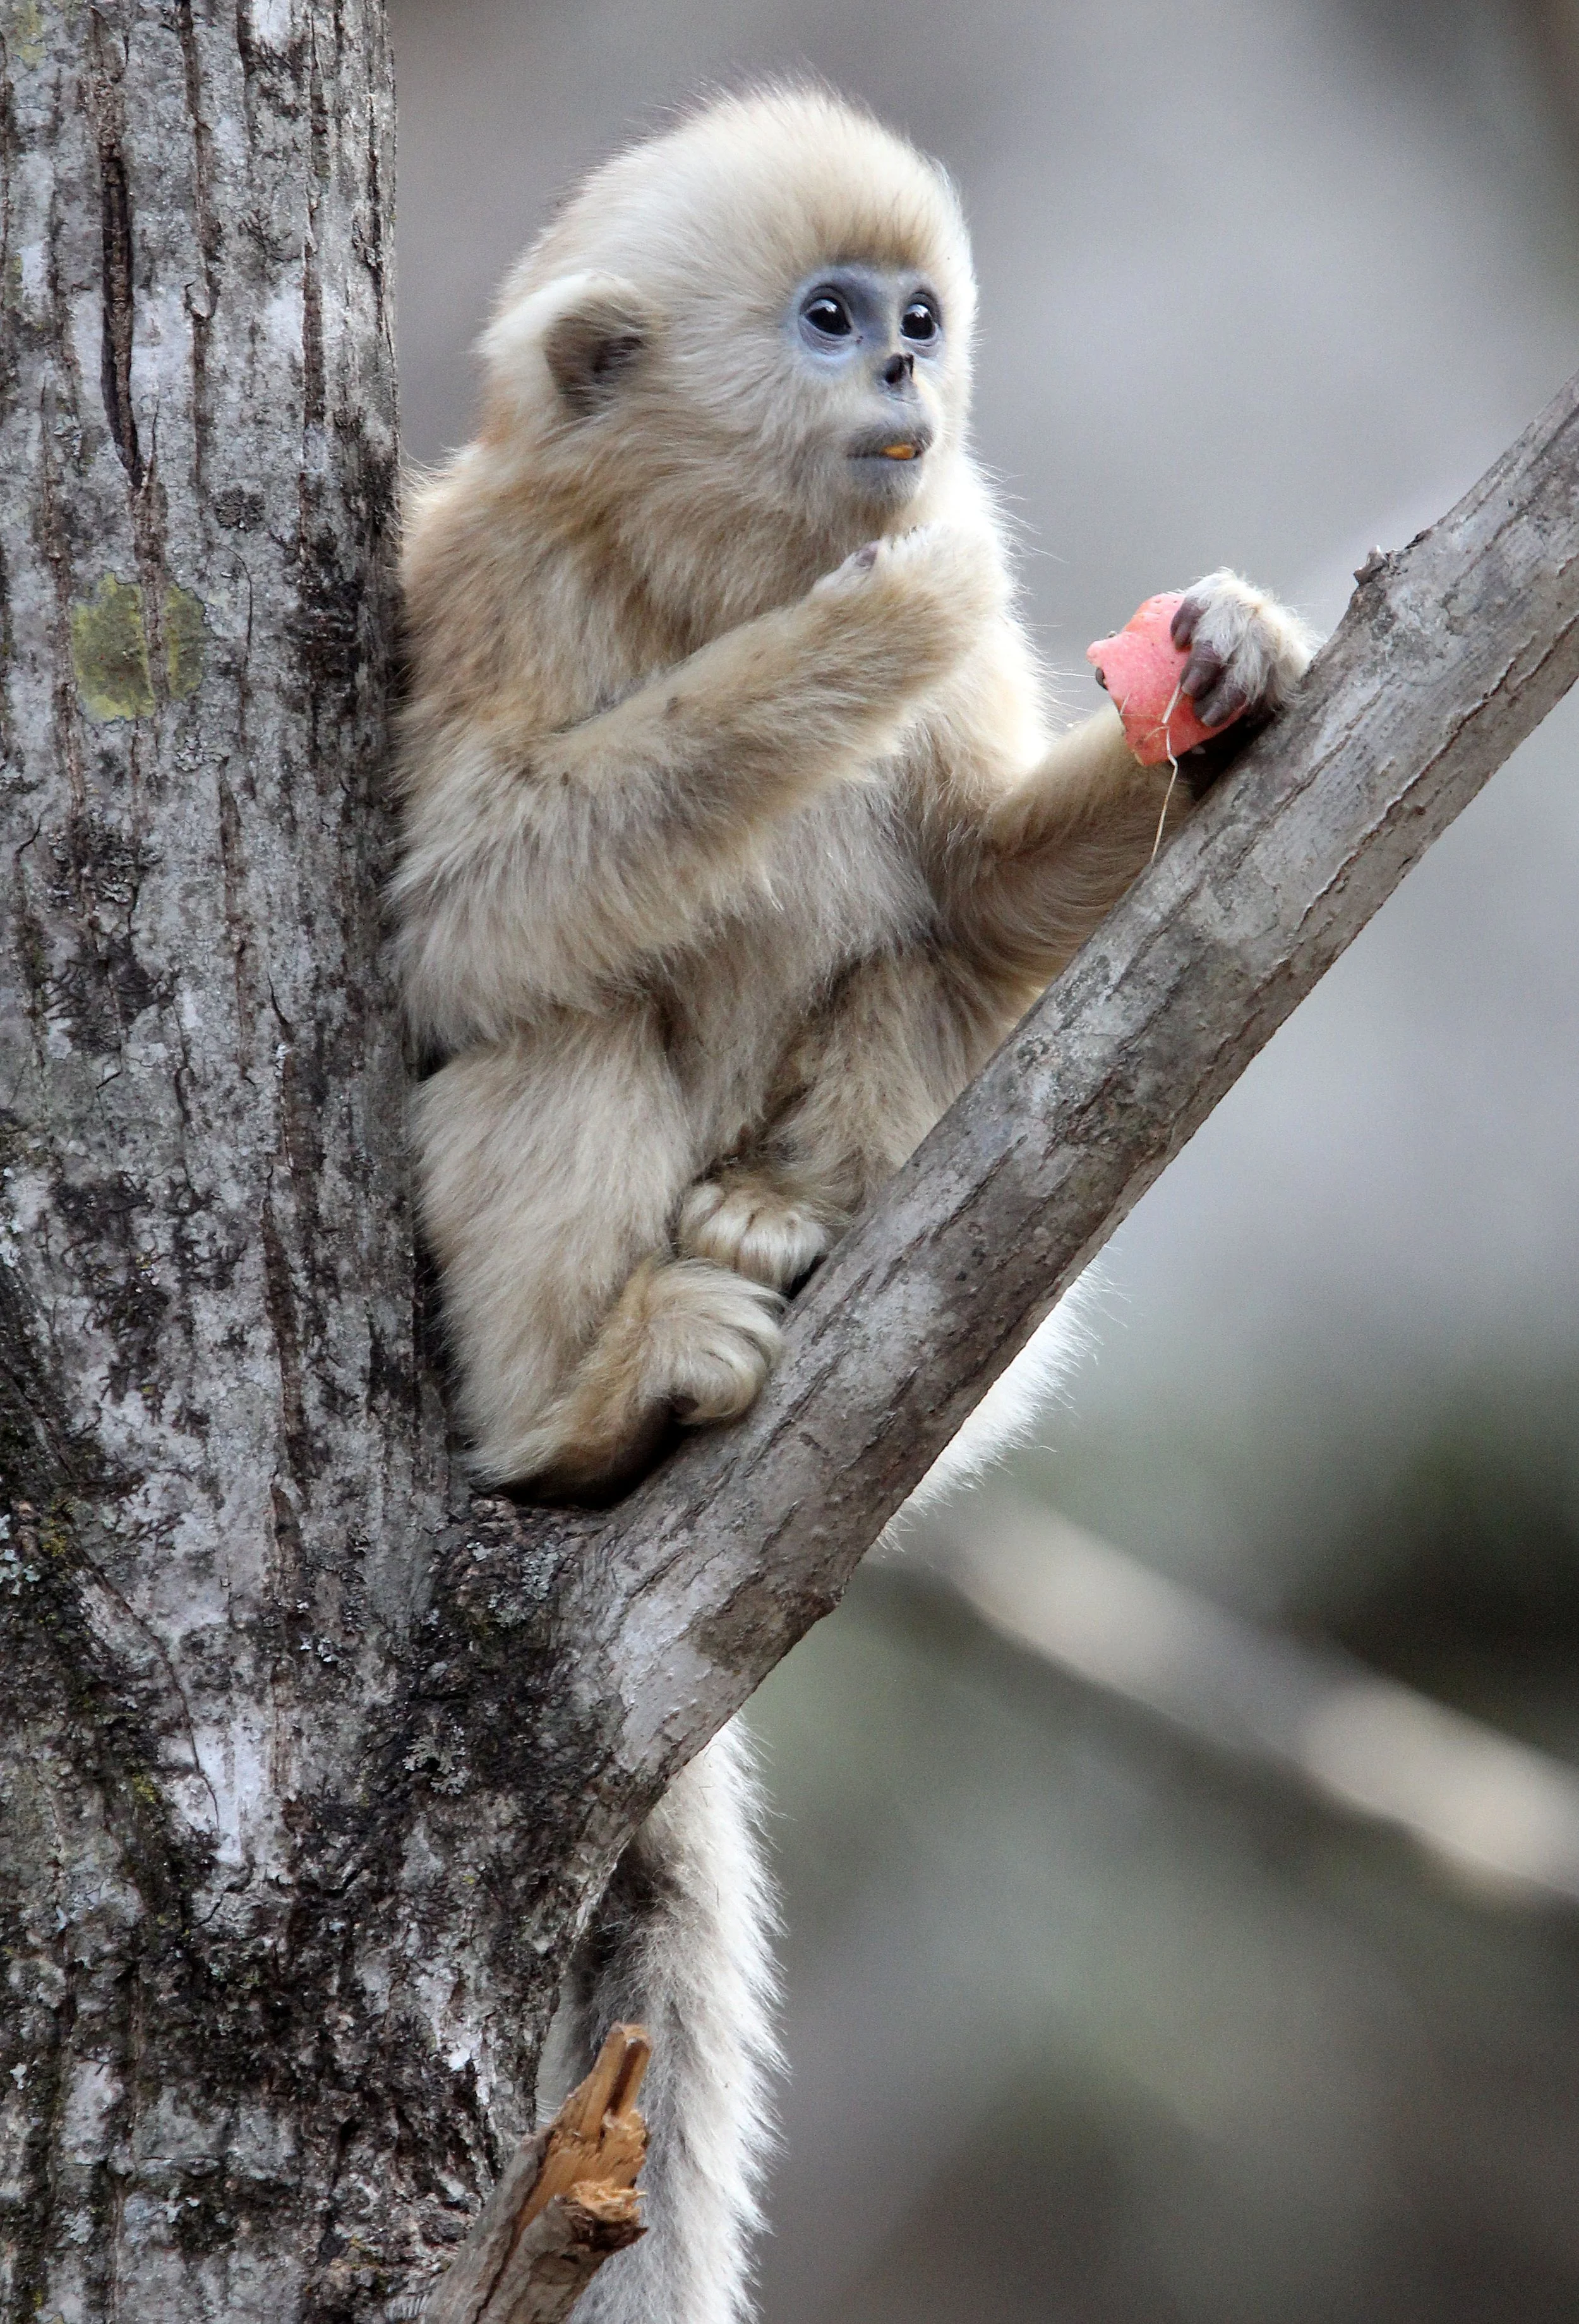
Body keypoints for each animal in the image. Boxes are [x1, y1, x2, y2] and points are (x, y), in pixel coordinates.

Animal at [393, 85, 1316, 2324]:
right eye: (828, 320)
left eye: (914, 315)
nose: (908, 377)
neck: (712, 562)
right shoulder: (493, 579)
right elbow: (453, 925)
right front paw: (868, 629)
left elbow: (971, 884)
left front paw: (1235, 656)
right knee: (565, 1011)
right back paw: (588, 1401)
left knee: (919, 954)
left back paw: (781, 1216)